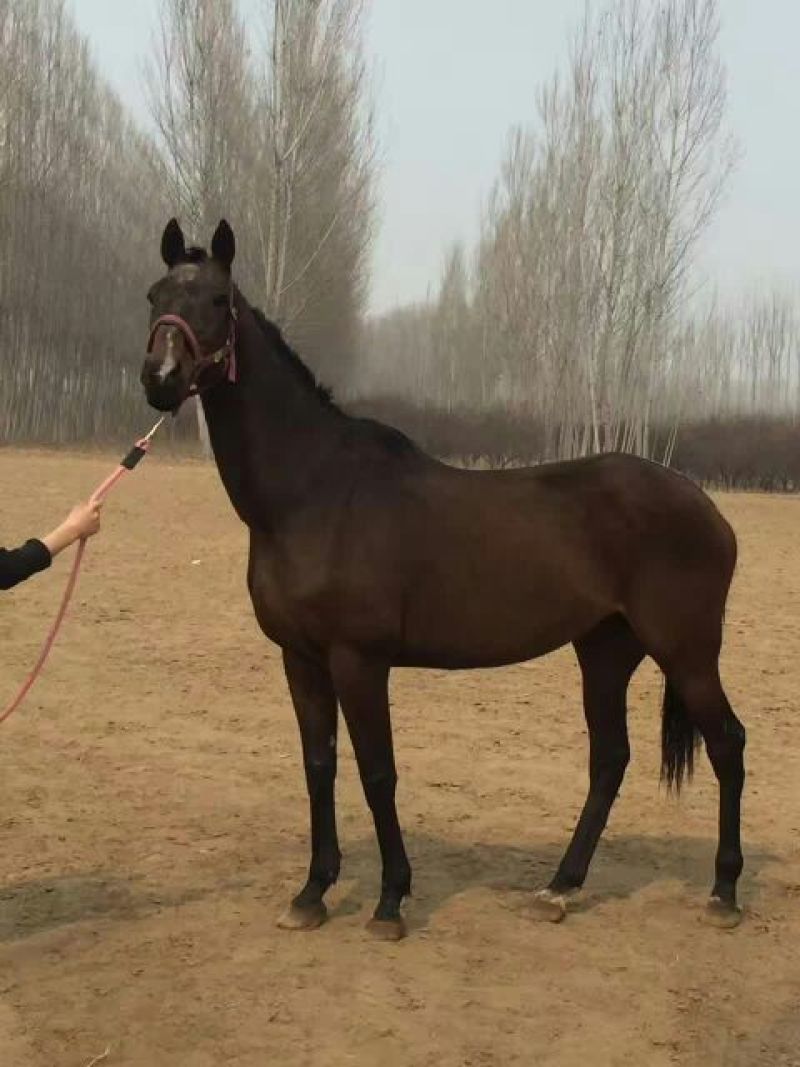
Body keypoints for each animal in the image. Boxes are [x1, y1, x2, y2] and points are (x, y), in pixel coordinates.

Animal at [140, 218, 745, 940]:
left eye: (218, 301)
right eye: (154, 296)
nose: (160, 378)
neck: (314, 494)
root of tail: (705, 506)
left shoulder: (359, 659)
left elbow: (378, 772)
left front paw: (390, 901)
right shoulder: (301, 658)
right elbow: (320, 767)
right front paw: (312, 892)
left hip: (686, 652)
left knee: (726, 744)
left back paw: (723, 892)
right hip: (605, 649)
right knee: (610, 760)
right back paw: (559, 888)